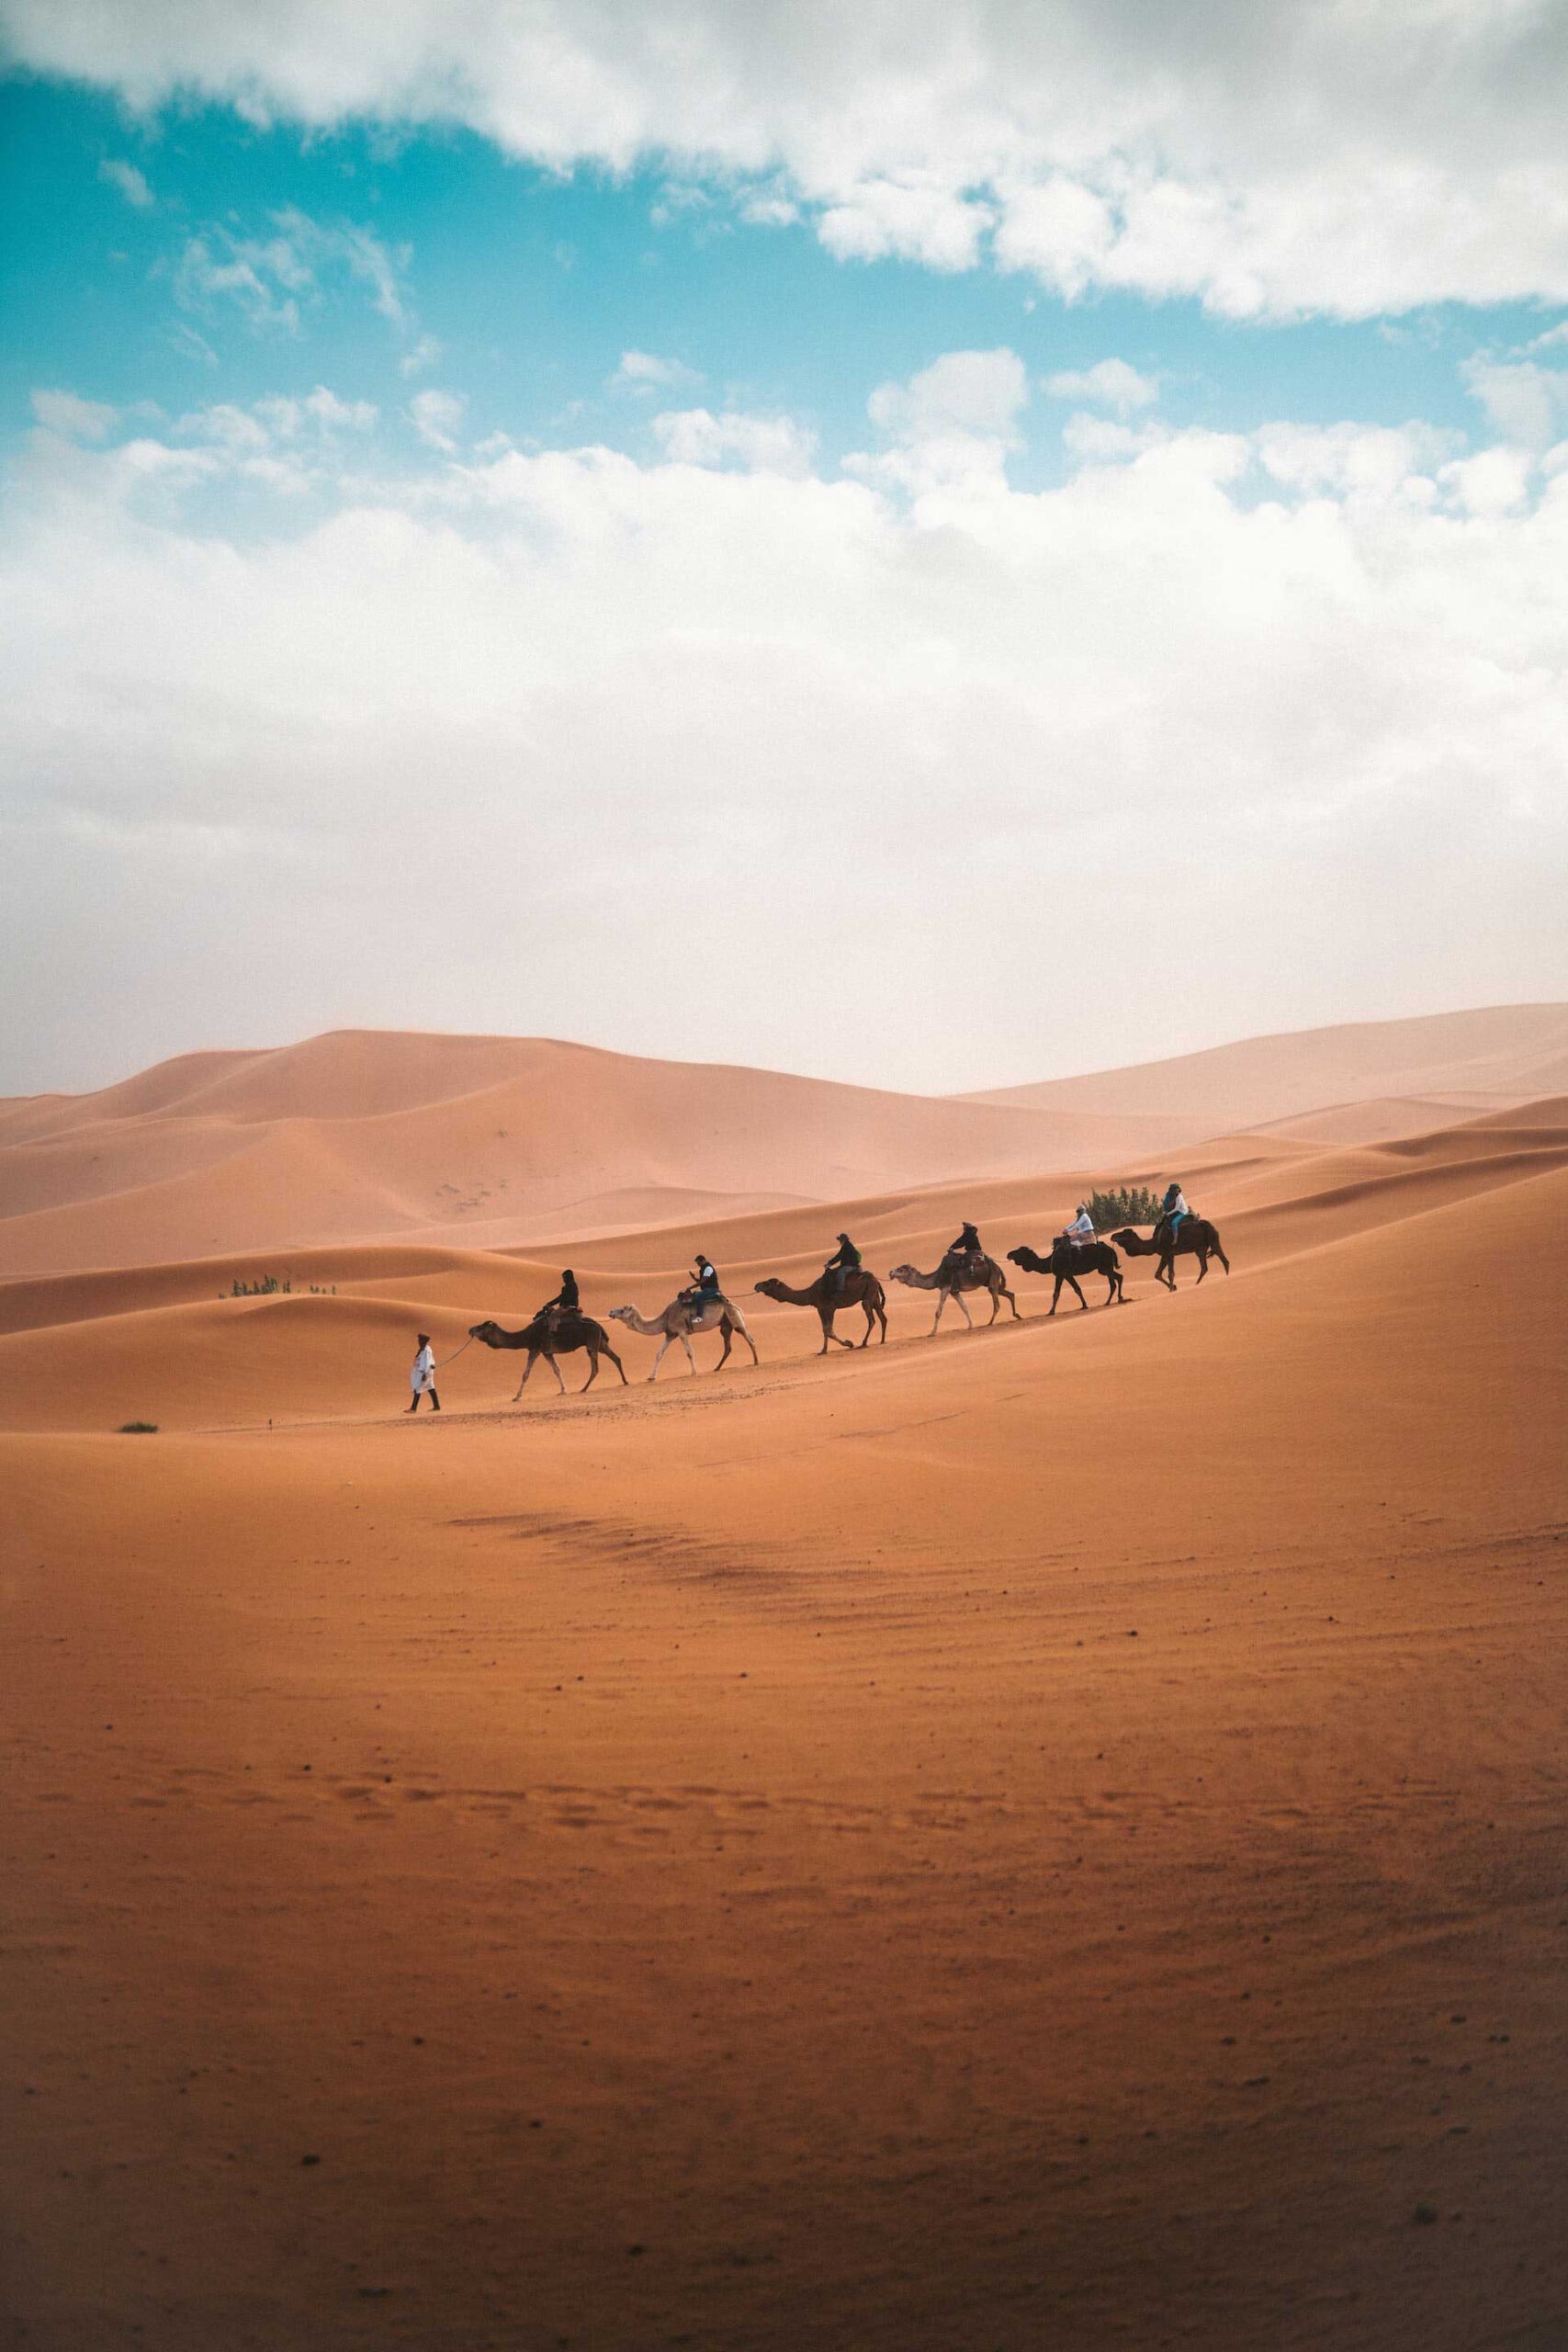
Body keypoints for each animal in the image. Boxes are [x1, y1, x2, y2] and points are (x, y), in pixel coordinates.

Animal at [469, 1307, 629, 1392]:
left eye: (482, 1327)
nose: (470, 1329)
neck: (526, 1335)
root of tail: (598, 1325)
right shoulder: (547, 1352)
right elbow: (557, 1370)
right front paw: (563, 1391)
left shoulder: (534, 1349)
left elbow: (525, 1374)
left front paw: (517, 1396)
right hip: (600, 1343)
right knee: (616, 1358)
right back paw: (625, 1381)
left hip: (592, 1343)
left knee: (595, 1367)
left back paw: (584, 1388)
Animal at [606, 1288, 761, 1374]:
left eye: (623, 1309)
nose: (611, 1311)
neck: (666, 1317)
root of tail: (736, 1305)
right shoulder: (670, 1334)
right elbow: (659, 1354)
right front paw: (651, 1377)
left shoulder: (681, 1332)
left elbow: (689, 1352)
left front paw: (694, 1372)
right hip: (725, 1324)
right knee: (728, 1346)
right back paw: (716, 1368)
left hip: (733, 1317)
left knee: (749, 1338)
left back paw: (755, 1362)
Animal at [751, 1270, 888, 1363]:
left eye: (767, 1283)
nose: (756, 1285)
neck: (811, 1293)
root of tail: (876, 1279)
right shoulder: (820, 1308)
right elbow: (824, 1330)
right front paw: (823, 1350)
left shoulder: (830, 1307)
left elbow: (829, 1330)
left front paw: (849, 1343)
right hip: (874, 1296)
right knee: (883, 1318)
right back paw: (882, 1340)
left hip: (868, 1296)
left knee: (872, 1320)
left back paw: (864, 1343)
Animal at [888, 1261, 1024, 1336]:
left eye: (901, 1269)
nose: (890, 1272)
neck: (936, 1277)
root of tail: (998, 1267)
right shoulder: (954, 1291)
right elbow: (964, 1307)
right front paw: (970, 1326)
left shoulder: (945, 1287)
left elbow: (938, 1312)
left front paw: (932, 1333)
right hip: (991, 1282)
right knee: (1010, 1294)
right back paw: (1017, 1315)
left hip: (993, 1279)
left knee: (996, 1303)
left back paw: (990, 1323)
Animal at [1109, 1223, 1232, 1298]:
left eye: (1124, 1233)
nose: (1112, 1236)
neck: (1155, 1243)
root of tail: (1212, 1226)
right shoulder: (1166, 1254)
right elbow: (1158, 1274)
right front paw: (1174, 1287)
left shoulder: (1168, 1252)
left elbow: (1170, 1273)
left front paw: (1171, 1290)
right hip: (1200, 1249)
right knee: (1204, 1267)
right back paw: (1196, 1284)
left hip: (1212, 1239)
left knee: (1224, 1260)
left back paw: (1226, 1277)